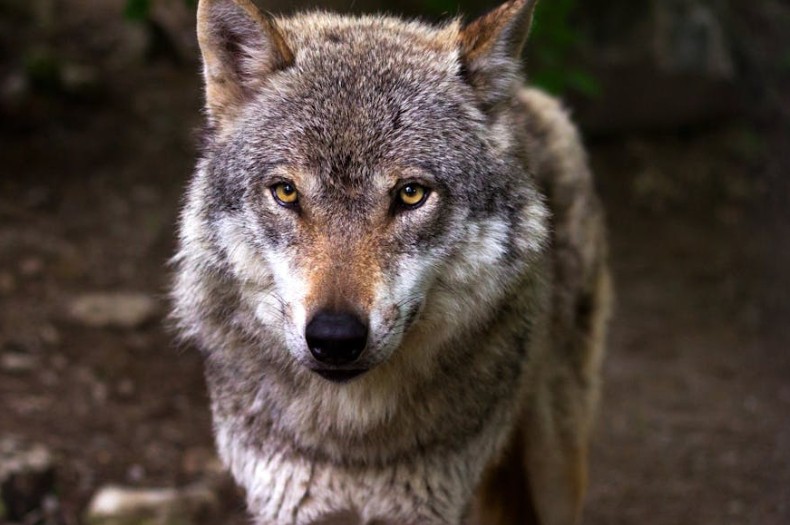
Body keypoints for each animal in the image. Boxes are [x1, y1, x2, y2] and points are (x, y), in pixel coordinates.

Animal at [171, 0, 611, 524]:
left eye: (411, 194)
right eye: (286, 192)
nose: (335, 338)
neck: (353, 442)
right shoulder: (285, 504)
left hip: (555, 467)